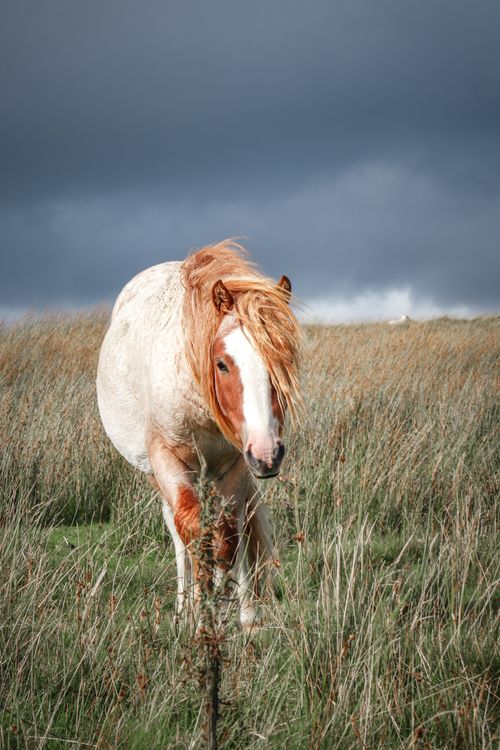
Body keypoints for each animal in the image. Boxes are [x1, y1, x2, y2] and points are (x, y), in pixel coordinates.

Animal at [96, 241, 302, 628]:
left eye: (285, 359)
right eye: (221, 363)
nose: (268, 454)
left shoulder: (236, 466)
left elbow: (228, 538)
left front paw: (233, 610)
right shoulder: (169, 463)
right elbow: (192, 534)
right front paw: (199, 614)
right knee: (179, 533)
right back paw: (184, 606)